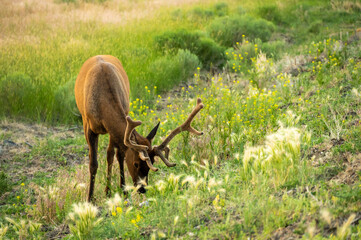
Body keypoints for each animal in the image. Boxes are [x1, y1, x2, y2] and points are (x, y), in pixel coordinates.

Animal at [74, 55, 202, 202]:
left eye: (152, 163)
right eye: (136, 164)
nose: (142, 189)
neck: (102, 106)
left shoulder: (119, 121)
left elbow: (118, 155)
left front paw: (122, 190)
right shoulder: (88, 126)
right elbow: (93, 163)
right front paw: (90, 198)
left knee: (113, 154)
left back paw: (115, 190)